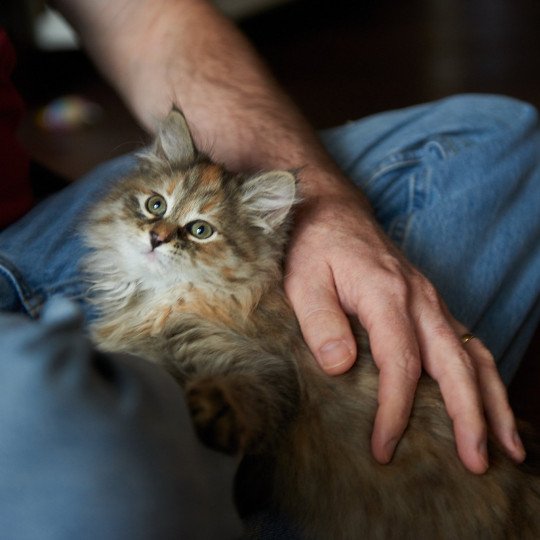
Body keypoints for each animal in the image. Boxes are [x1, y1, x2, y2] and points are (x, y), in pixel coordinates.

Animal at [81, 110, 540, 540]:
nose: (156, 237)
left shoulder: (263, 368)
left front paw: (209, 410)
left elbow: (242, 394)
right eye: (156, 205)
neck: (159, 298)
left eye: (200, 230)